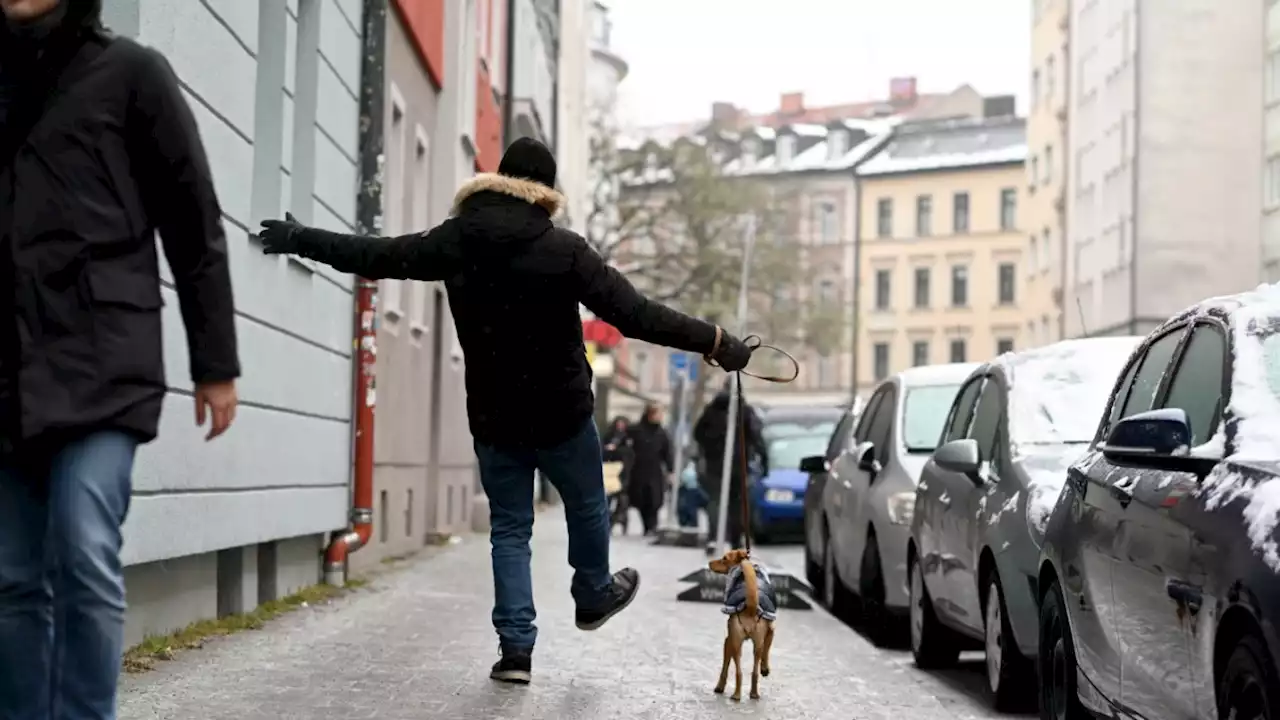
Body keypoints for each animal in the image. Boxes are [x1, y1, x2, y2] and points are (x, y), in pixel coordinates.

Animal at [706, 548, 773, 696]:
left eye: (724, 558)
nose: (709, 563)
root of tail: (750, 608)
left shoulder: (728, 641)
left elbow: (724, 668)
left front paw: (720, 686)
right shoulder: (770, 632)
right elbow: (767, 651)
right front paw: (765, 668)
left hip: (737, 644)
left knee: (740, 672)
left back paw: (738, 695)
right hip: (752, 646)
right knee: (751, 672)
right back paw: (750, 694)